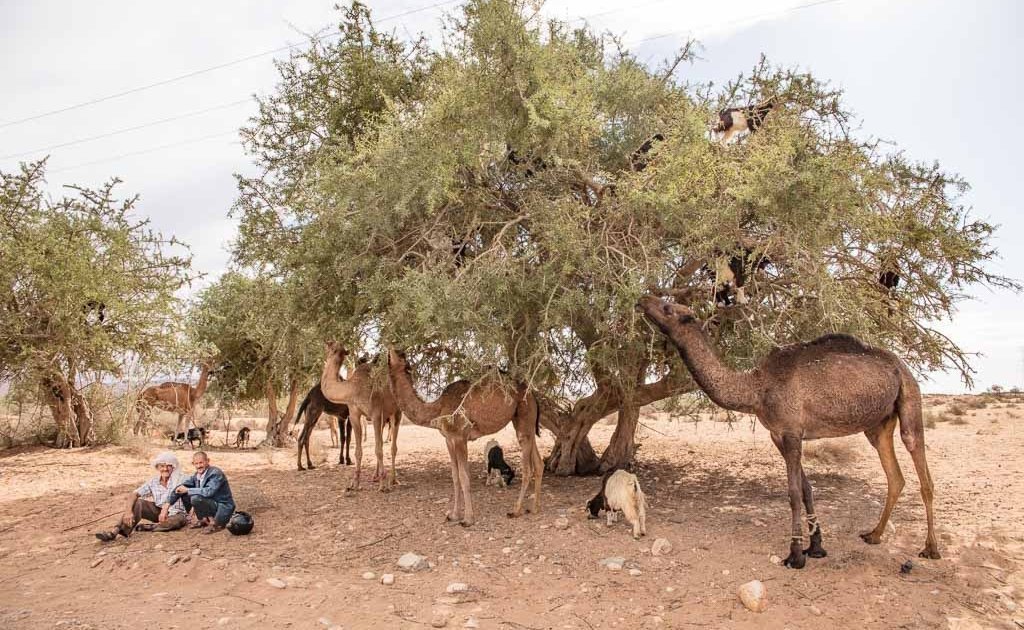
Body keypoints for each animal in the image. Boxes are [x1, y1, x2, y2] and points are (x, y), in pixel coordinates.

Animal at [320, 343, 402, 491]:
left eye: (333, 348)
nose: (326, 345)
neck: (353, 388)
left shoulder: (375, 412)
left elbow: (379, 450)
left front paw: (383, 485)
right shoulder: (354, 414)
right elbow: (359, 451)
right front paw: (355, 483)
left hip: (397, 411)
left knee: (393, 446)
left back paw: (393, 479)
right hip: (384, 417)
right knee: (381, 441)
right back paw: (375, 476)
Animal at [386, 348, 543, 526]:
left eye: (400, 355)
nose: (391, 349)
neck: (437, 409)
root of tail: (533, 396)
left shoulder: (461, 437)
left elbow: (464, 476)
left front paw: (468, 519)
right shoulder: (449, 440)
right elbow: (455, 476)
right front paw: (453, 515)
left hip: (525, 416)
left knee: (528, 468)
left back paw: (515, 511)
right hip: (524, 422)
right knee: (538, 463)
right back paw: (534, 508)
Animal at [638, 295, 939, 569]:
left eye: (667, 307)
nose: (643, 299)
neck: (757, 389)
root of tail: (900, 365)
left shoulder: (792, 431)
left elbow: (793, 492)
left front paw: (795, 555)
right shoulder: (778, 434)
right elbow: (806, 489)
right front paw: (816, 547)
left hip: (910, 397)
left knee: (922, 468)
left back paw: (931, 548)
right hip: (878, 425)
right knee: (895, 476)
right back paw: (873, 535)